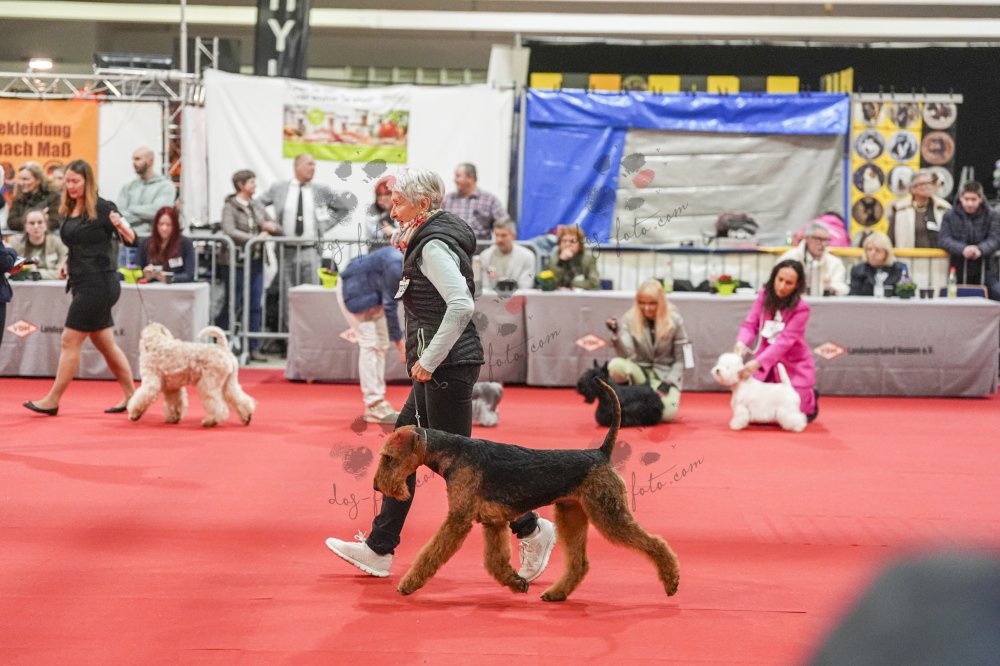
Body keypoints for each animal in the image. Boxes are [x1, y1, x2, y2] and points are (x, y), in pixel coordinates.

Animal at [127, 323, 255, 427]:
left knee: (217, 405)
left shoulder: (151, 383)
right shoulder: (172, 388)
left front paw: (134, 414)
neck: (155, 344)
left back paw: (211, 421)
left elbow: (141, 397)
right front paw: (174, 418)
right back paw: (246, 417)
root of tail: (222, 348)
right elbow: (174, 403)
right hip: (229, 383)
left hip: (208, 385)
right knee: (240, 399)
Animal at [373, 379, 680, 601]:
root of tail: (601, 452)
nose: (378, 486)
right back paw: (556, 594)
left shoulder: (458, 520)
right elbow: (495, 561)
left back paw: (672, 582)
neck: (454, 453)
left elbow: (431, 553)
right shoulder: (493, 521)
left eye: (388, 457)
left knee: (655, 543)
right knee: (579, 563)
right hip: (571, 514)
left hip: (609, 514)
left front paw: (408, 584)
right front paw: (517, 583)